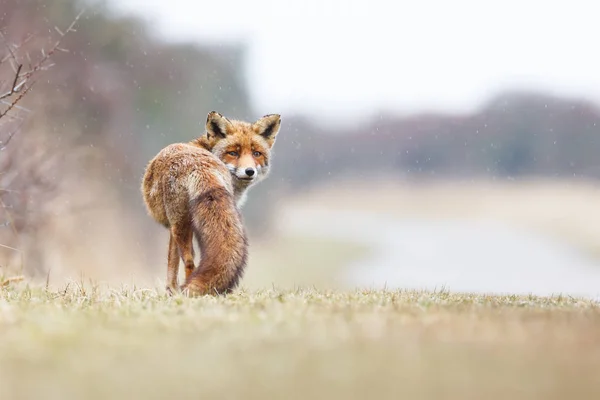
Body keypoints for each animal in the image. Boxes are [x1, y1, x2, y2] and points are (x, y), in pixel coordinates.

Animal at [142, 111, 282, 296]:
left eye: (256, 153)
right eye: (233, 153)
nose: (249, 171)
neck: (206, 148)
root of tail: (198, 166)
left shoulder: (173, 228)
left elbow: (172, 262)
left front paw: (171, 291)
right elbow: (172, 262)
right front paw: (171, 291)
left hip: (180, 224)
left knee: (189, 261)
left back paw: (188, 290)